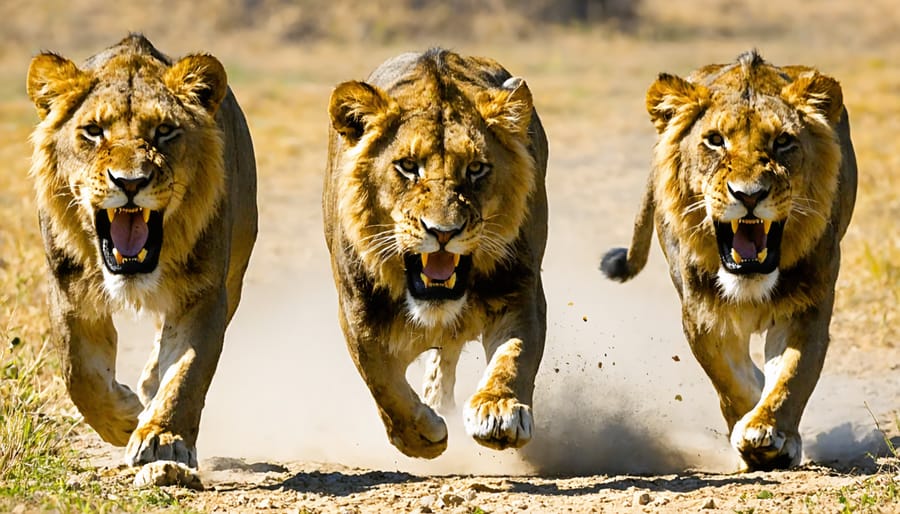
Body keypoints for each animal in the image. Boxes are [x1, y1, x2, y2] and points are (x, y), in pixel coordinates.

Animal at [26, 33, 256, 480]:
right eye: (93, 131)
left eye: (164, 131)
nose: (130, 182)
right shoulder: (69, 291)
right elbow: (79, 373)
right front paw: (124, 419)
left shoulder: (203, 293)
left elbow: (186, 373)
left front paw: (162, 439)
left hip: (236, 271)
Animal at [324, 48, 548, 456]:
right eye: (408, 166)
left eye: (476, 168)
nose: (443, 232)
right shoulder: (356, 310)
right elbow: (380, 379)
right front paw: (418, 436)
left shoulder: (520, 291)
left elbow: (516, 355)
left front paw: (499, 411)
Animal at [600, 50, 856, 470]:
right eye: (715, 141)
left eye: (783, 141)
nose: (749, 194)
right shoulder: (703, 315)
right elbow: (730, 381)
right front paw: (746, 434)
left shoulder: (808, 306)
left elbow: (791, 377)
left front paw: (768, 432)